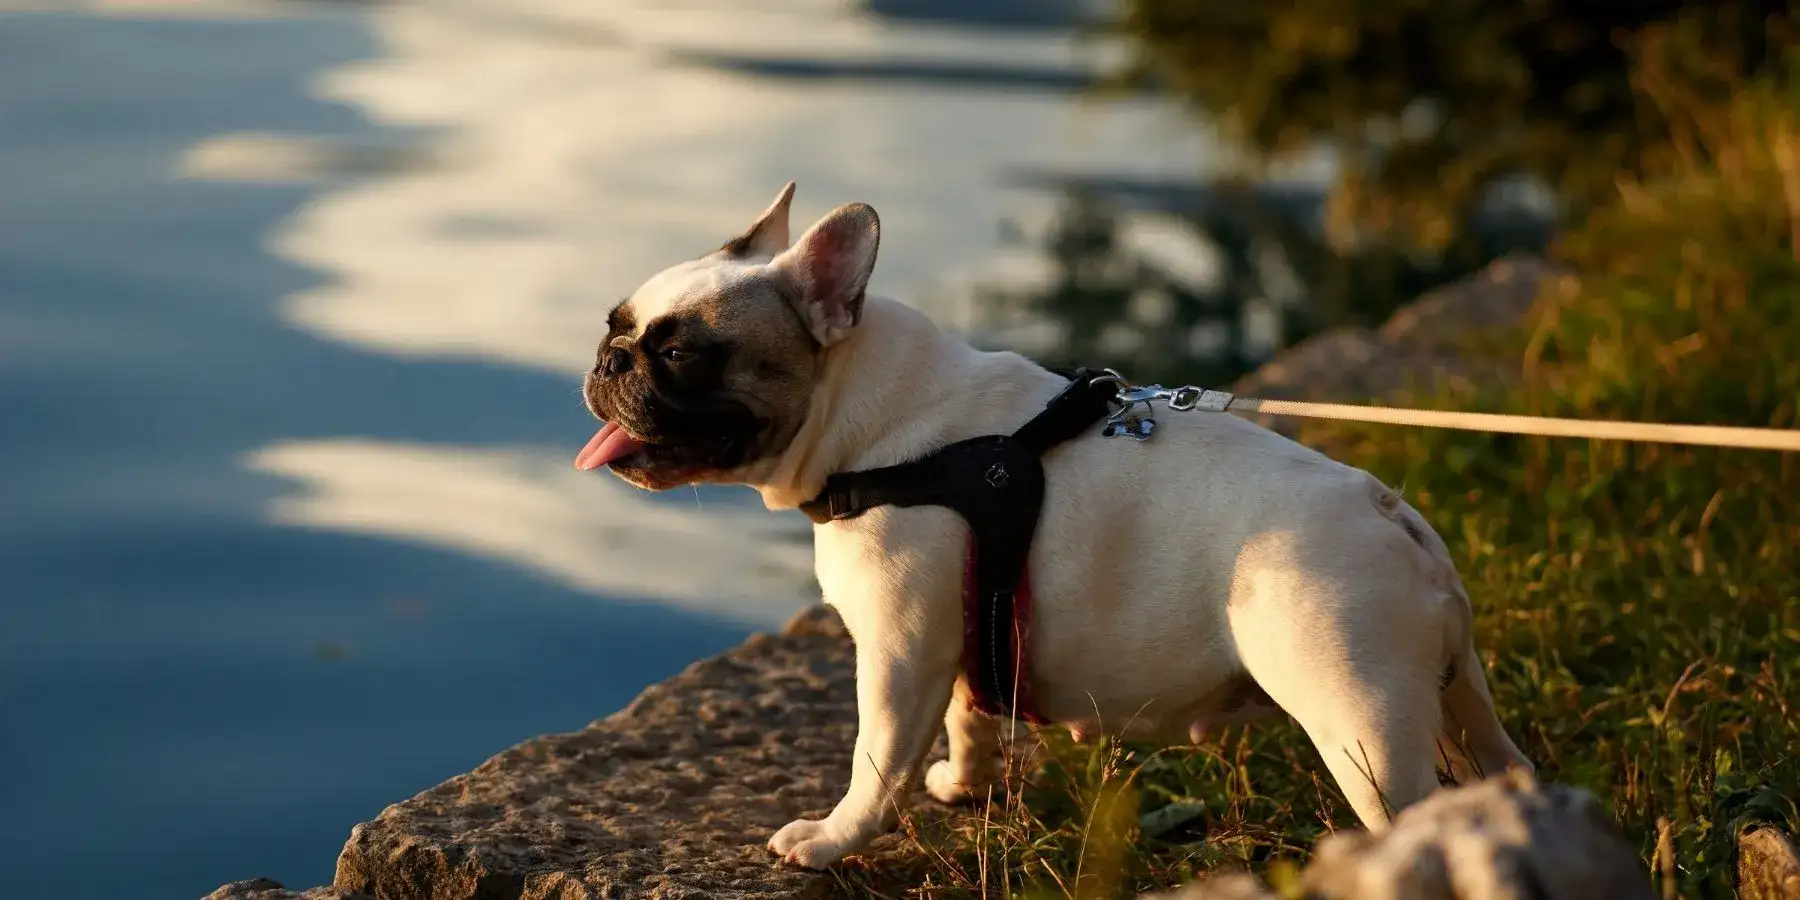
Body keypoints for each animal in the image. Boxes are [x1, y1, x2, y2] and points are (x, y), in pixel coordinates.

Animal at [576, 184, 1533, 871]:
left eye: (680, 354)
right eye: (617, 325)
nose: (607, 360)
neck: (870, 423)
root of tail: (1392, 516)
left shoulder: (898, 652)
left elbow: (875, 760)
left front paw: (831, 840)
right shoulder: (961, 635)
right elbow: (966, 717)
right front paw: (963, 786)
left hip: (1358, 716)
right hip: (1458, 698)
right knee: (1503, 767)